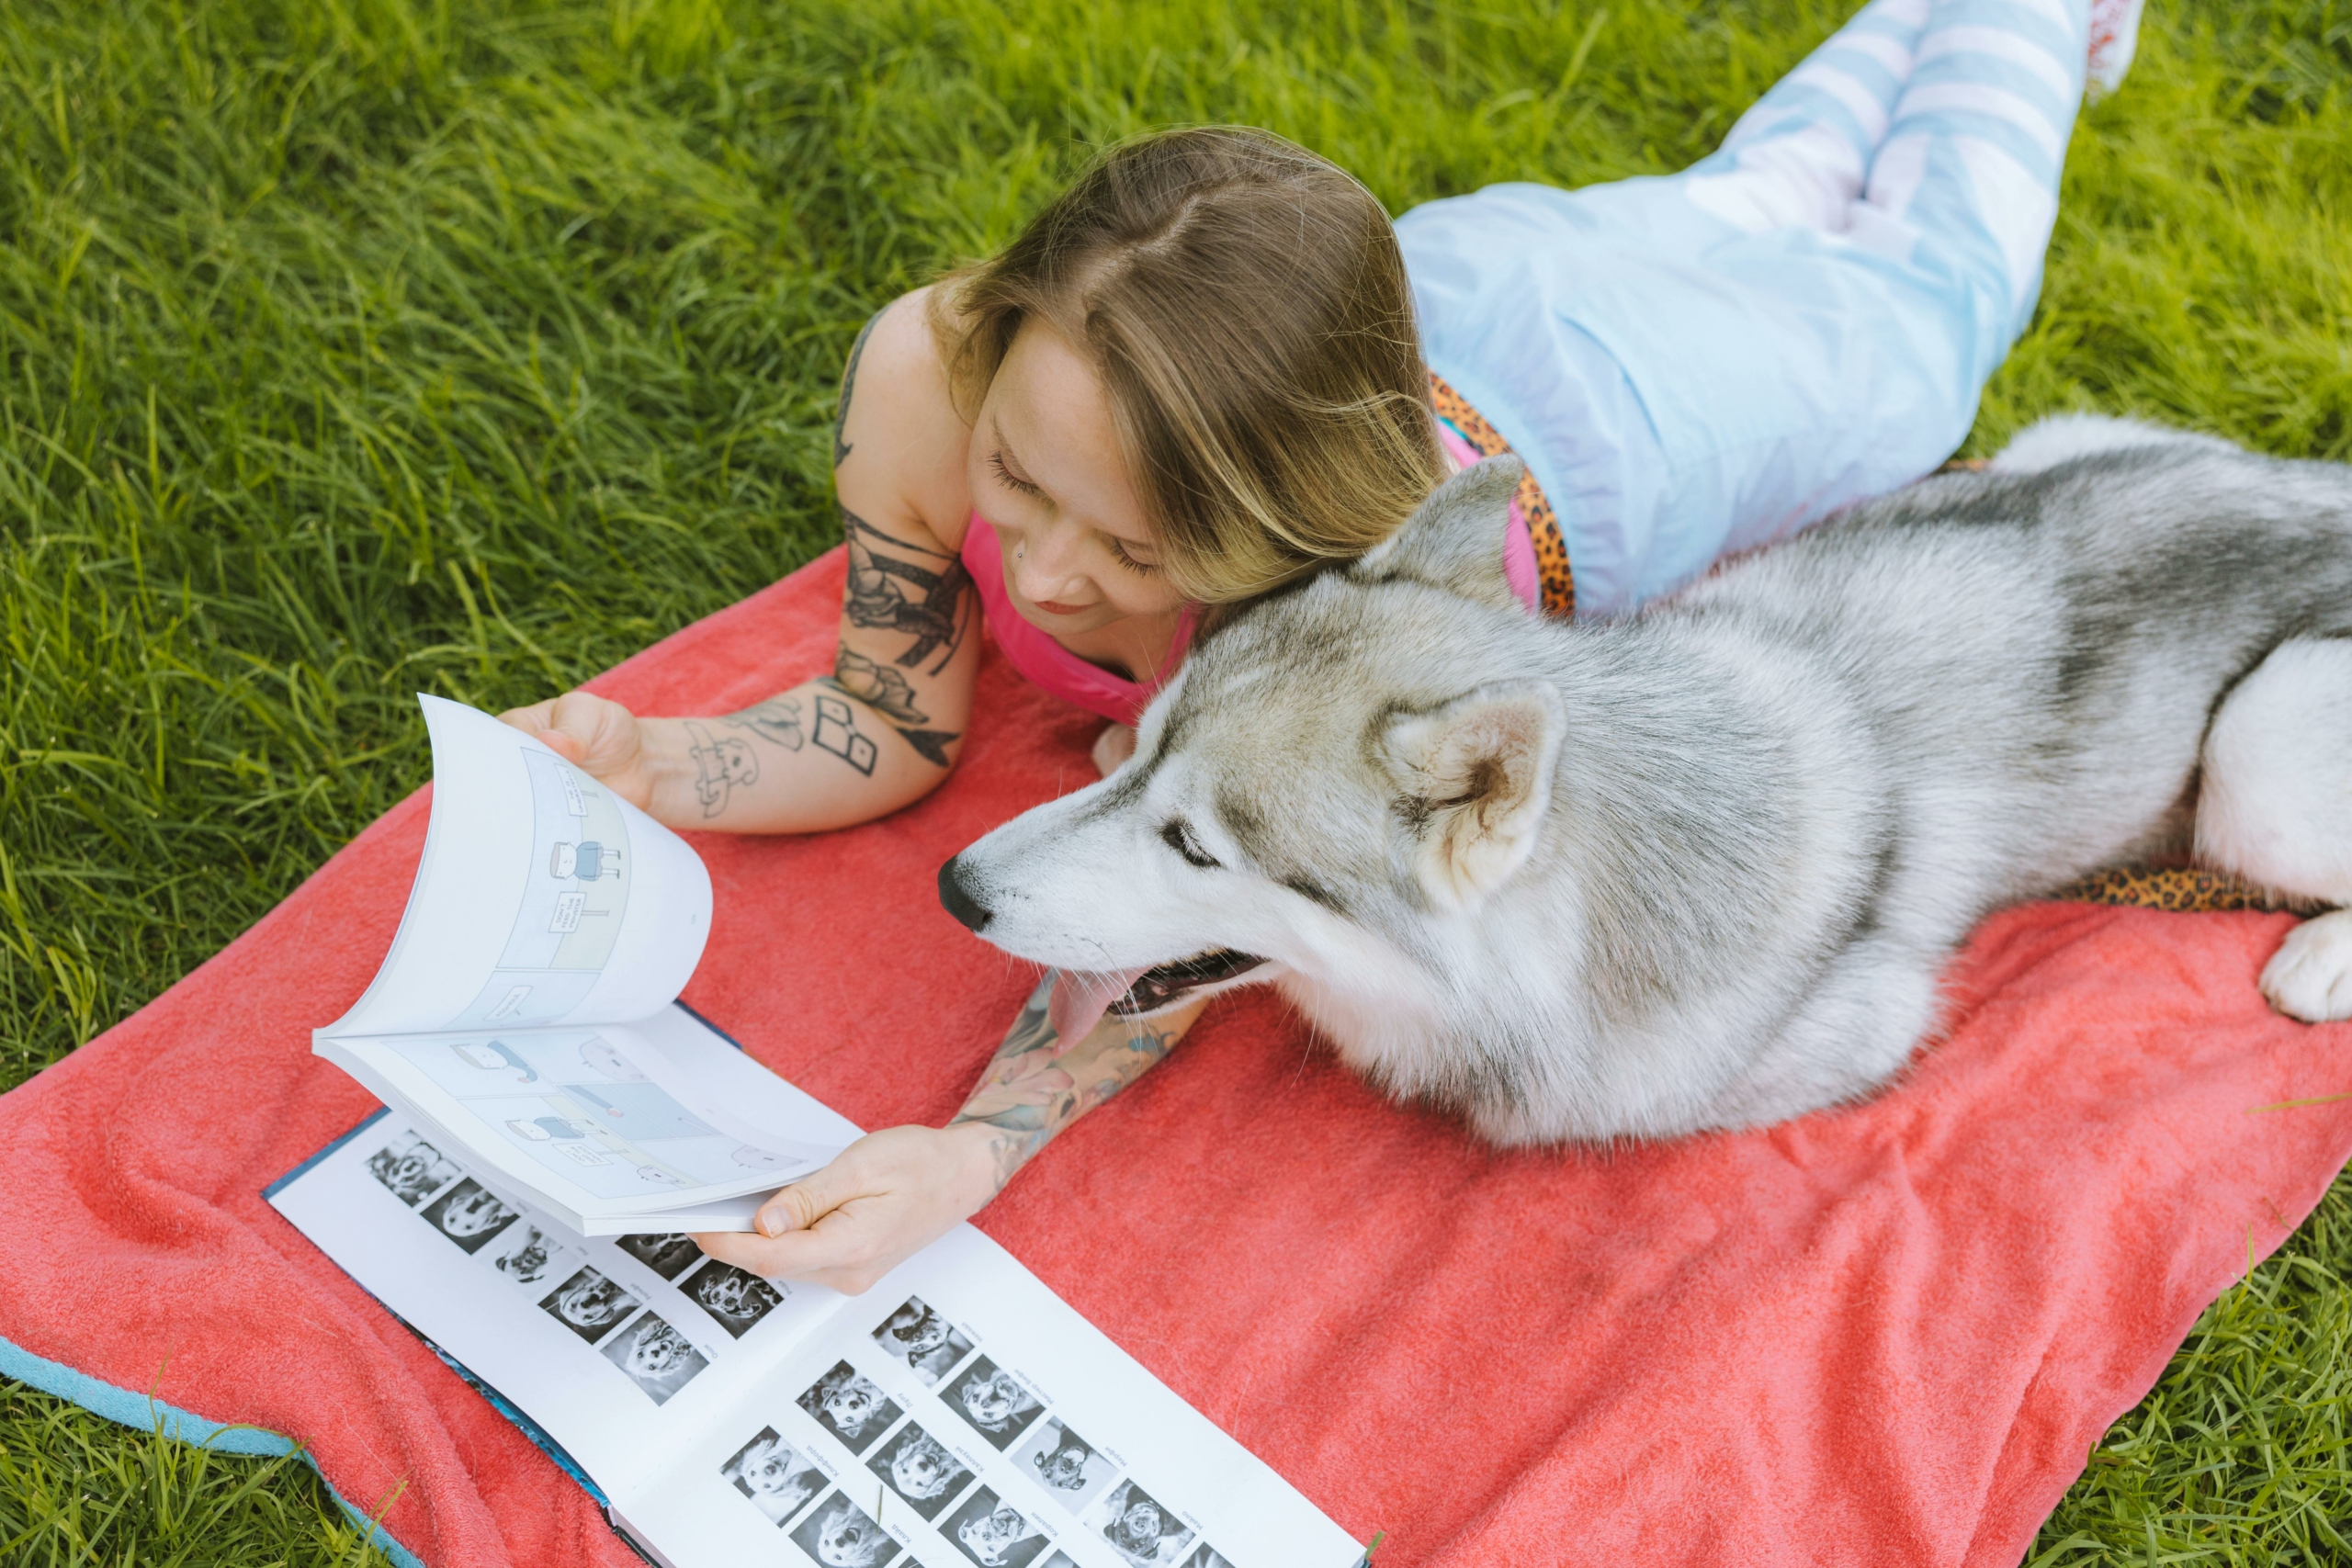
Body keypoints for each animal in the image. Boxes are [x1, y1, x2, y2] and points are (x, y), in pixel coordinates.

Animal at [935, 415, 2352, 1146]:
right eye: (1151, 749)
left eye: (1194, 846)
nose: (954, 887)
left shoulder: (1854, 1035)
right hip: (2029, 449)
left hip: (2255, 752)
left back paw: (2318, 959)